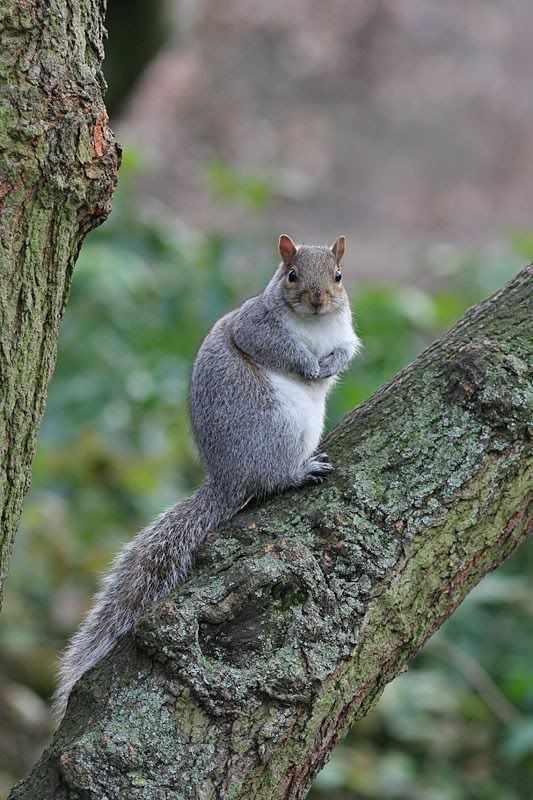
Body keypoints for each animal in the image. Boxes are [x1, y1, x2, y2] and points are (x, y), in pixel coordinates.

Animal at [53, 234, 360, 718]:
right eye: (291, 275)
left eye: (338, 276)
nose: (317, 300)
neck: (313, 326)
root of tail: (227, 481)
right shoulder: (255, 328)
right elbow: (277, 350)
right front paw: (311, 367)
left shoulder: (344, 330)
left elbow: (347, 348)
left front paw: (332, 363)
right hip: (276, 428)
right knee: (268, 481)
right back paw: (297, 472)